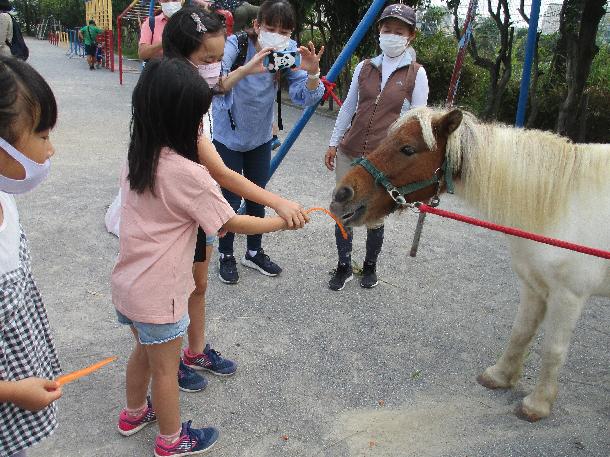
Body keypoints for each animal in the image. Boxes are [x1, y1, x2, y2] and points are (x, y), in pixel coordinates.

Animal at [328, 107, 608, 420]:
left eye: (408, 148)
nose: (342, 194)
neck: (558, 208)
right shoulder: (533, 286)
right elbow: (521, 332)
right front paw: (500, 376)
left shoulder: (569, 296)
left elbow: (553, 350)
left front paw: (537, 404)